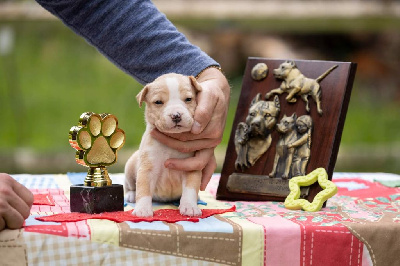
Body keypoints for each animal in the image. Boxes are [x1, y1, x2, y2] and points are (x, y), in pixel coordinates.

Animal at [126, 72, 203, 216]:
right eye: (158, 102)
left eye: (188, 99)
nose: (176, 115)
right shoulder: (147, 168)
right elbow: (143, 189)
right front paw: (142, 210)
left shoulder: (191, 167)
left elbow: (190, 189)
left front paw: (190, 207)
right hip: (130, 166)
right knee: (131, 185)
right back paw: (131, 195)